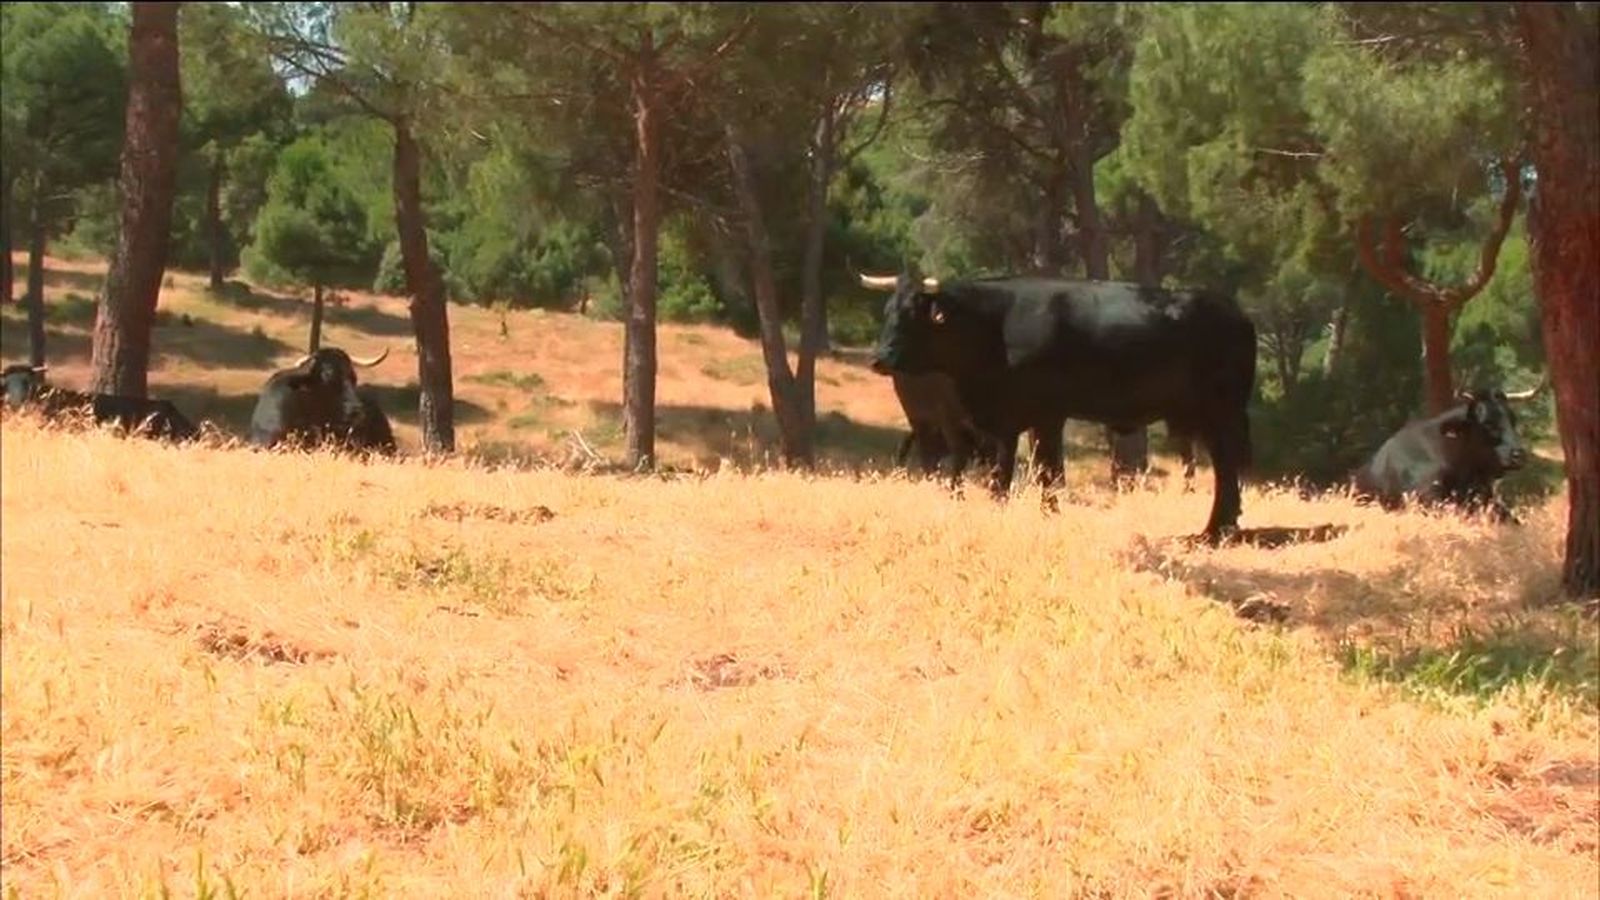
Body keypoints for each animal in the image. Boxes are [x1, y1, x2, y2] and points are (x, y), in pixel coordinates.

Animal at [864, 271, 1257, 539]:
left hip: (1222, 412)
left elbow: (1047, 470)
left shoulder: (1047, 414)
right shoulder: (1008, 421)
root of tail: (1237, 313)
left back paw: (1216, 529)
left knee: (1227, 468)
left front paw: (1047, 512)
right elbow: (1007, 472)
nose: (879, 358)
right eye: (887, 311)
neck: (996, 327)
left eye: (912, 314)